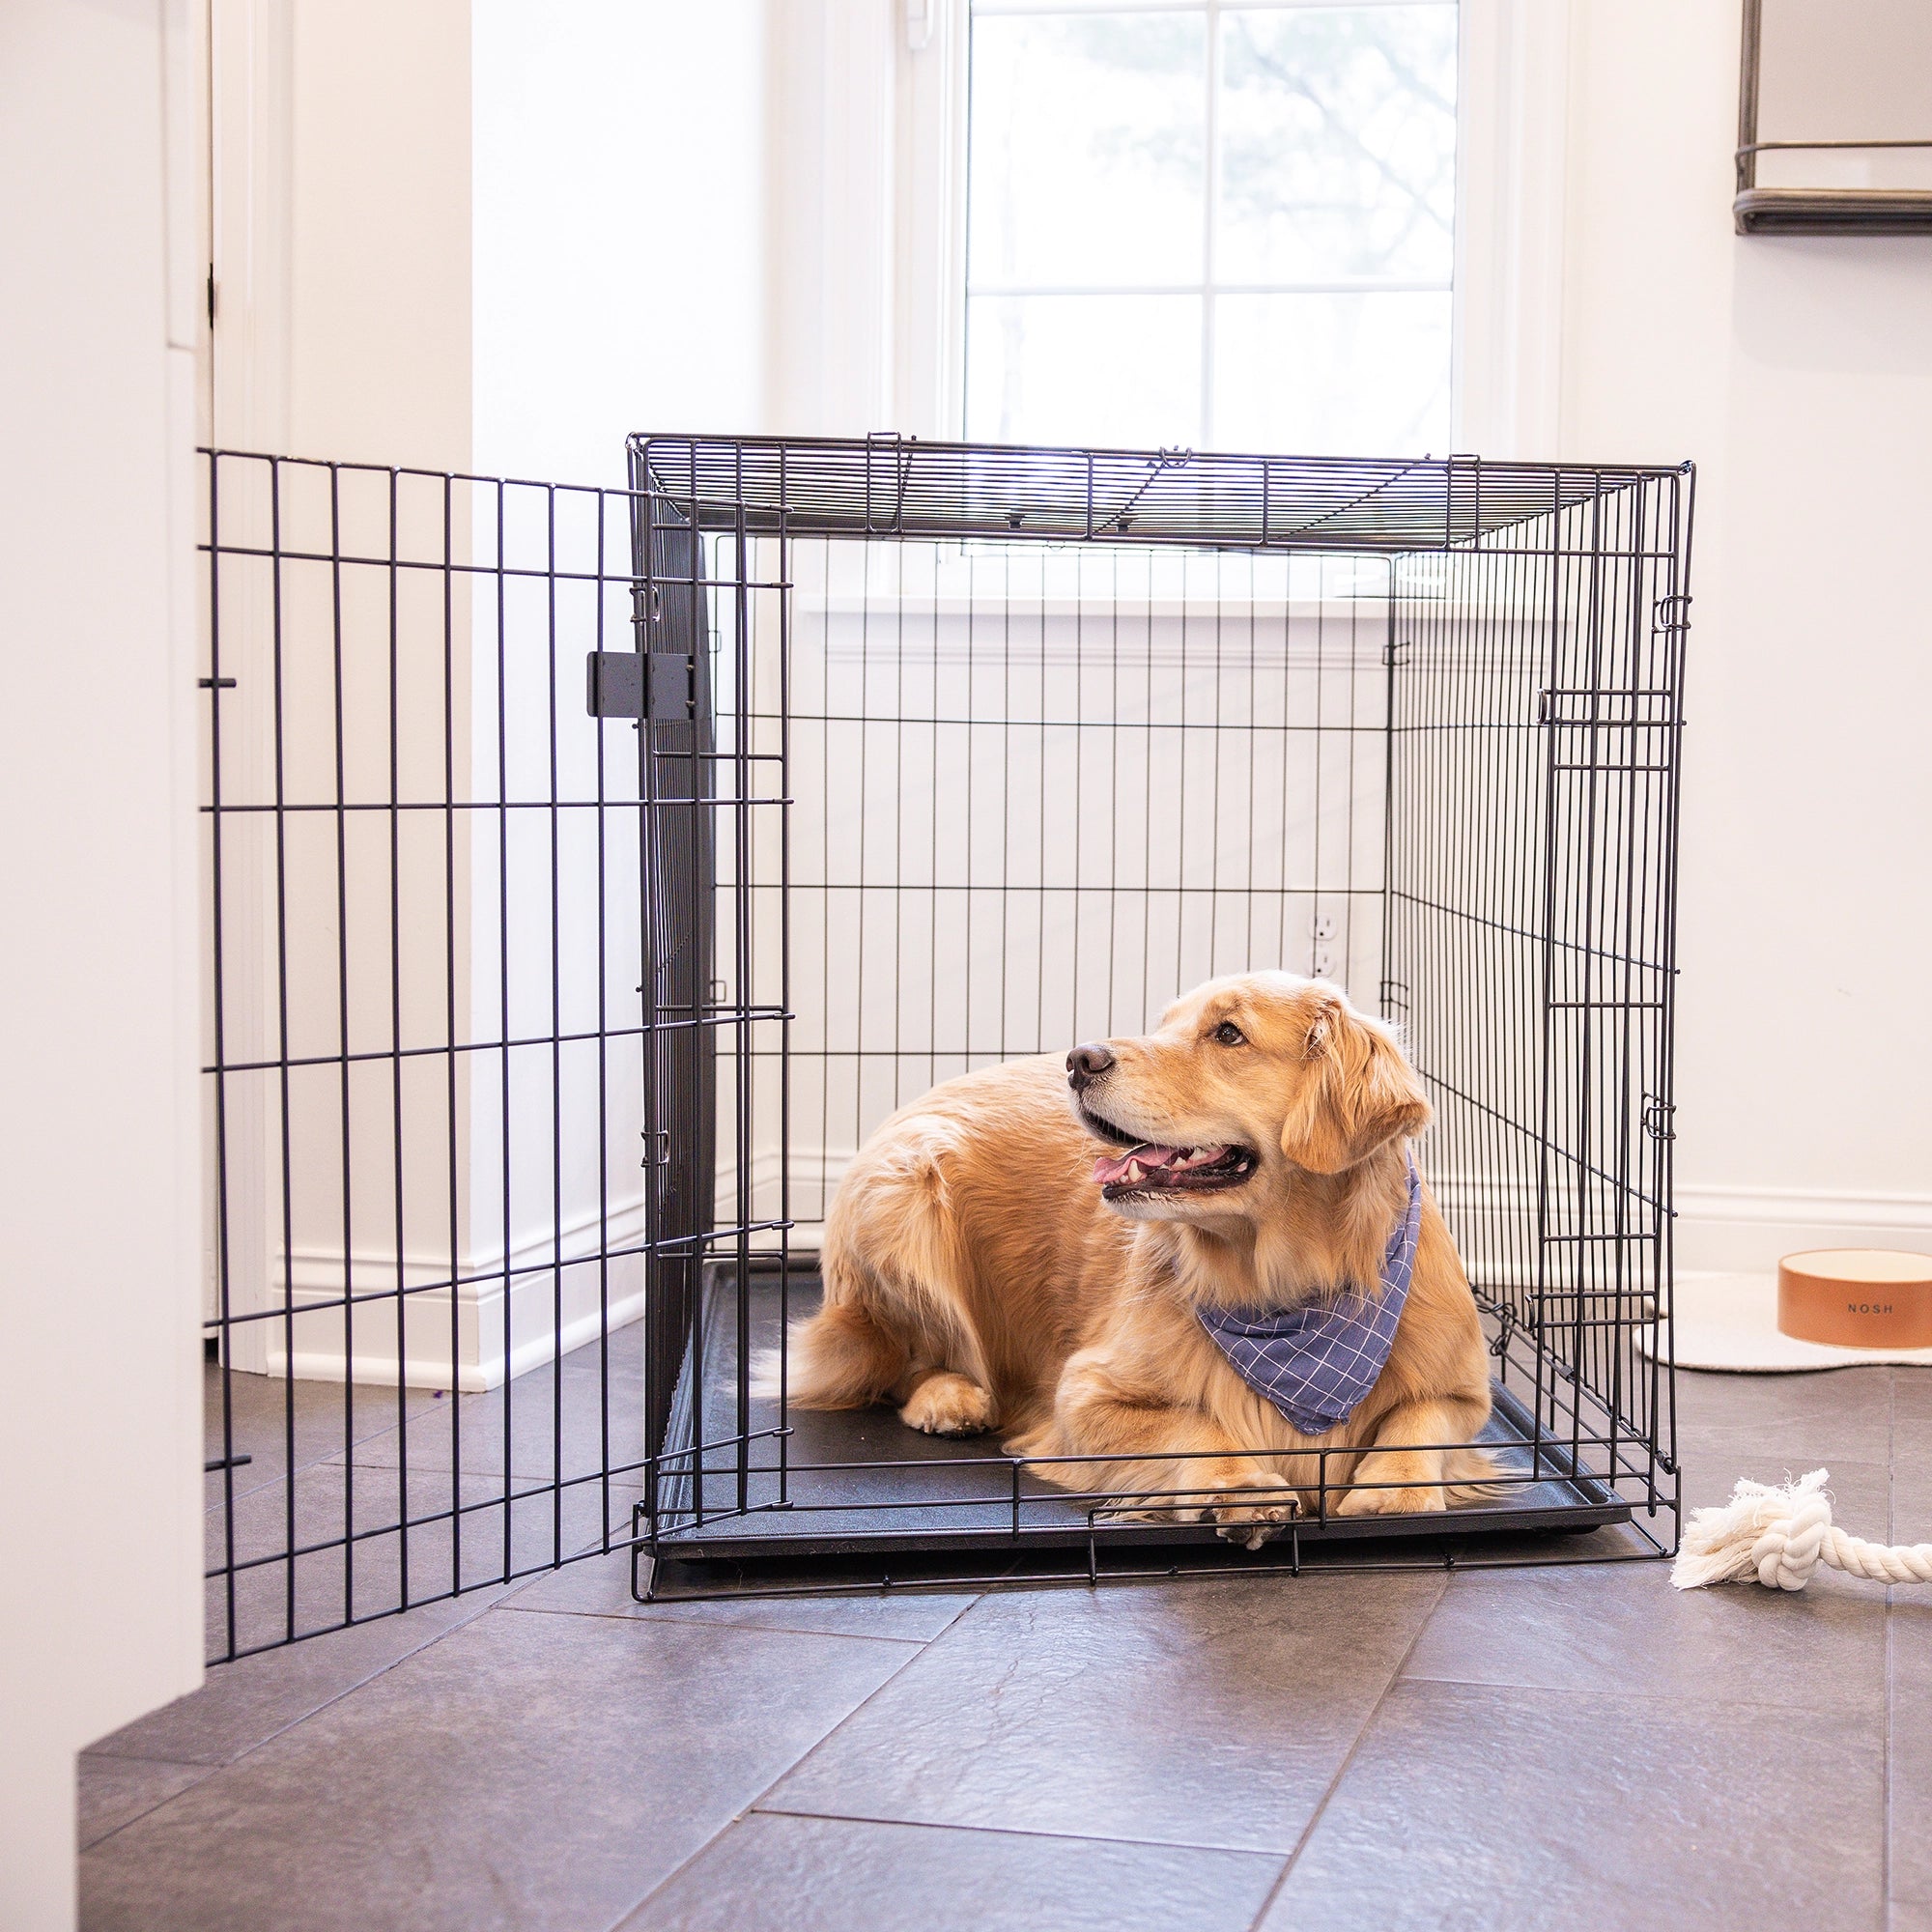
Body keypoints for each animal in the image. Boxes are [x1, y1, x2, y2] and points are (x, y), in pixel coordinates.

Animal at [769, 974, 1492, 1546]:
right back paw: (950, 1397)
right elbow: (1195, 1424)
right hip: (902, 1193)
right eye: (1164, 1023)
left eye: (1228, 1033)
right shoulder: (1085, 1393)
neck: (1285, 1288)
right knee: (898, 1359)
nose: (1079, 1059)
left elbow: (1420, 1418)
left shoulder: (1464, 1392)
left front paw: (1394, 1486)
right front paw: (1240, 1486)